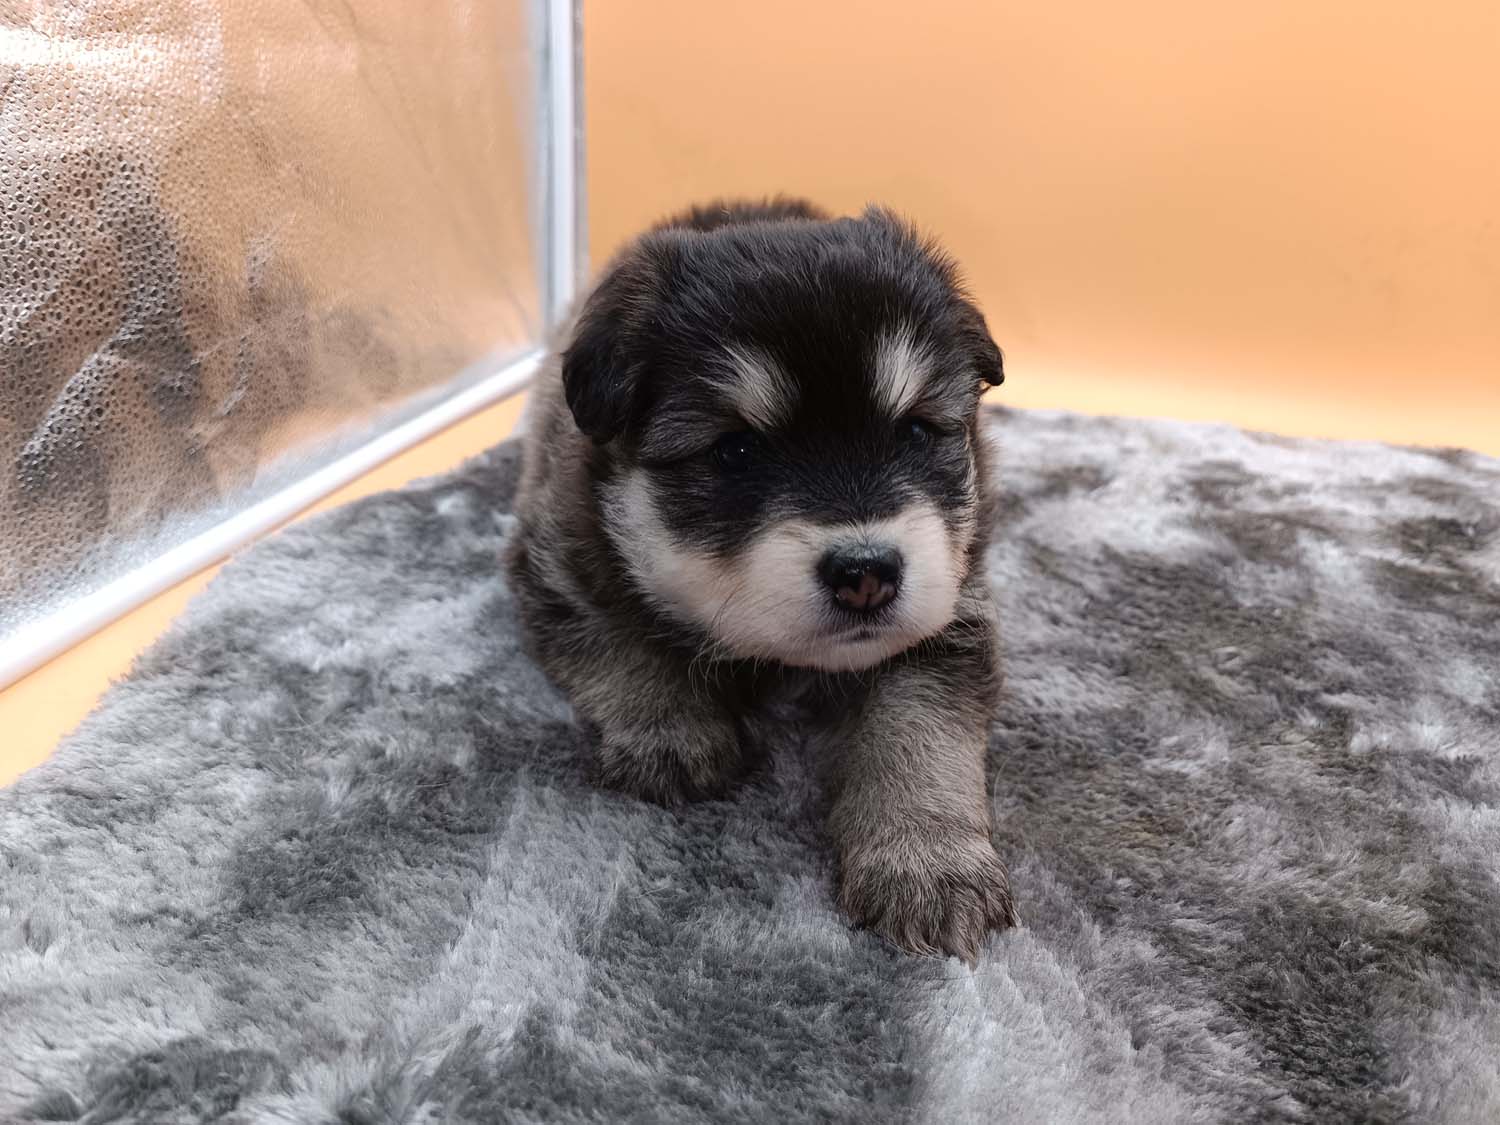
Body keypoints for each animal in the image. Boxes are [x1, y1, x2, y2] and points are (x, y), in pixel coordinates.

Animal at [507, 198, 1014, 960]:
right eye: (736, 450)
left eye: (917, 432)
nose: (866, 574)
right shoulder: (558, 558)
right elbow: (616, 633)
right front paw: (669, 728)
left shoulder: (948, 612)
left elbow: (920, 733)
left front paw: (929, 862)